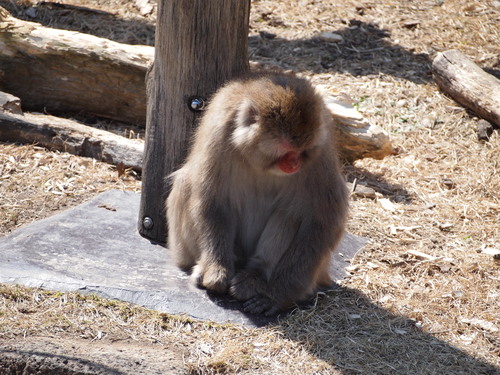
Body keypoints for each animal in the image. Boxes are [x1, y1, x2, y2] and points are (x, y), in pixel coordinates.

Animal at [166, 71, 350, 318]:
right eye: (288, 150)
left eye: (303, 150)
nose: (295, 164)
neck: (258, 159)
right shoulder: (219, 131)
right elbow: (211, 198)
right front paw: (216, 270)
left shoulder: (321, 150)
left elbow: (323, 219)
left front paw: (277, 295)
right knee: (187, 184)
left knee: (291, 214)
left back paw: (257, 276)